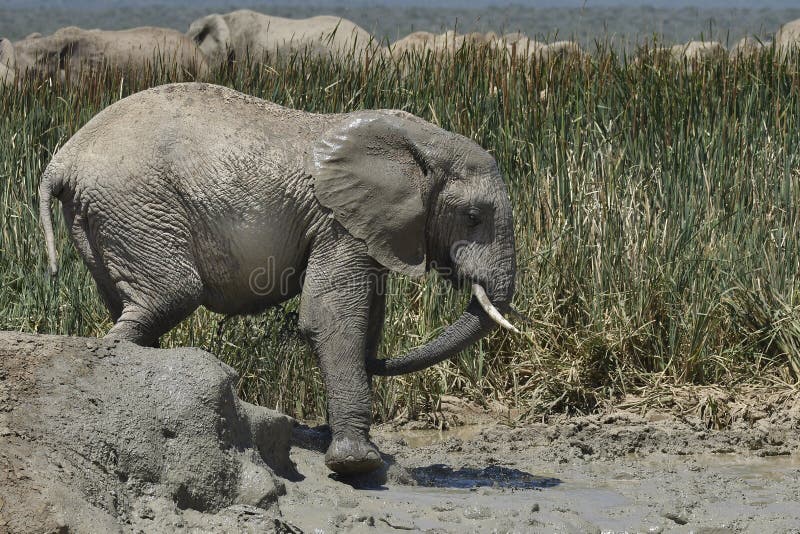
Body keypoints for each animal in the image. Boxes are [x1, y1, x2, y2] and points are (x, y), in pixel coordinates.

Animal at [39, 82, 519, 475]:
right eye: (473, 217)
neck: (422, 140)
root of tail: (62, 160)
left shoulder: (369, 228)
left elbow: (367, 318)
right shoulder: (337, 222)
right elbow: (331, 316)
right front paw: (357, 464)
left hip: (101, 216)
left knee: (133, 306)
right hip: (134, 203)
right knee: (171, 295)